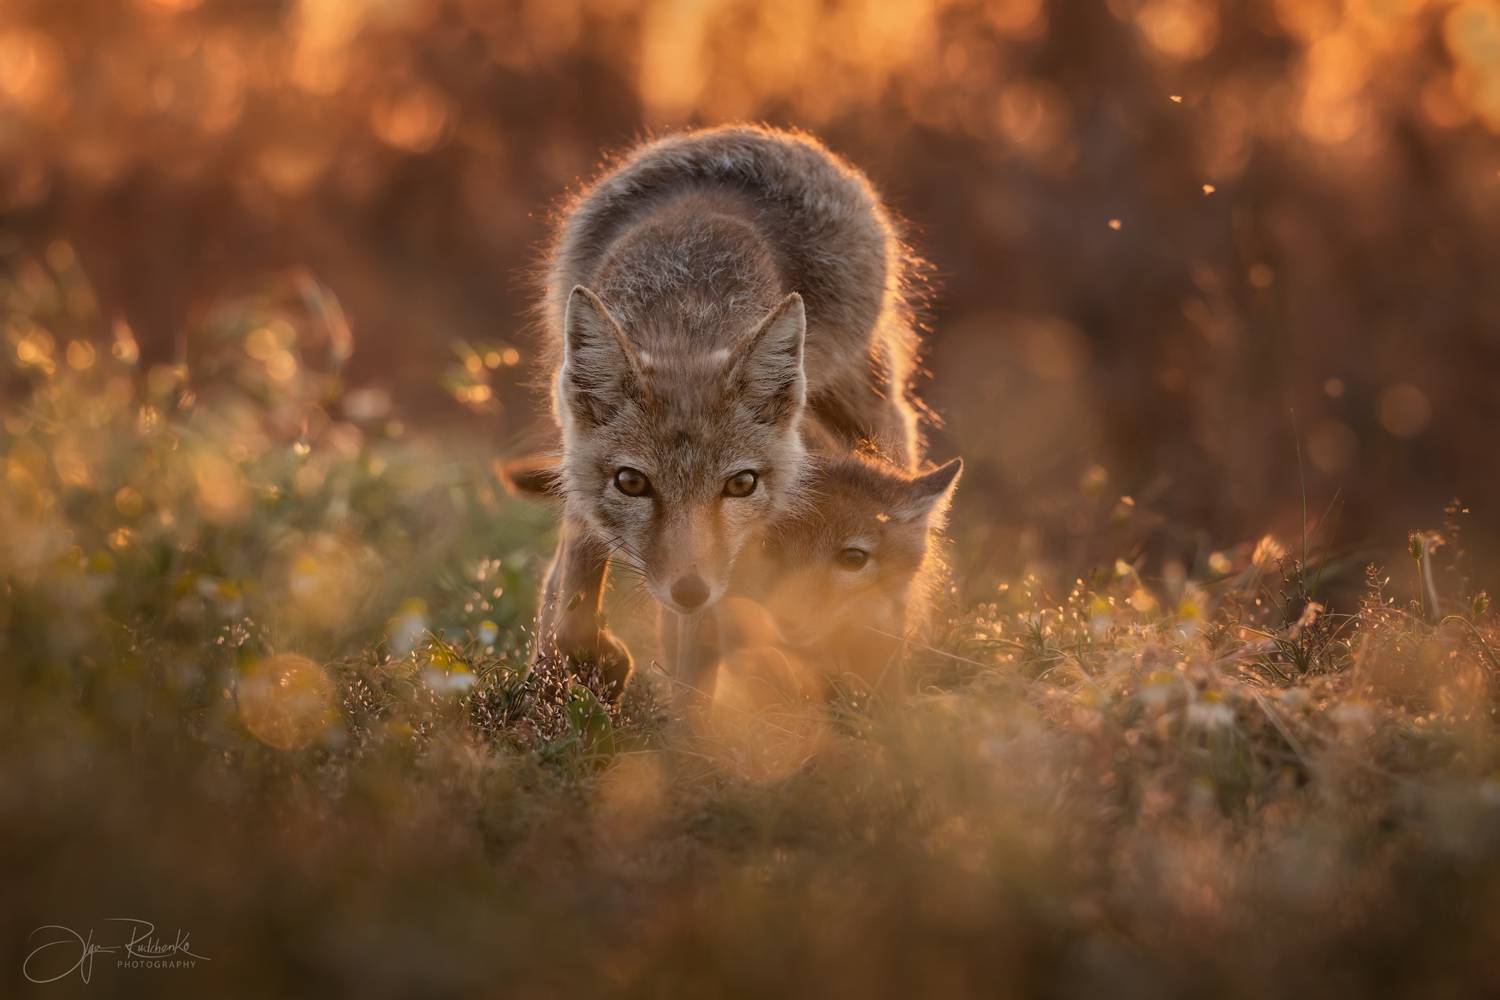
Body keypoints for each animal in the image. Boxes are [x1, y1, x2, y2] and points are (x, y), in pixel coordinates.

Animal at [532, 125, 926, 695]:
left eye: (741, 484)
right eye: (632, 482)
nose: (690, 590)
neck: (685, 307)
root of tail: (769, 134)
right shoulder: (578, 453)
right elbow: (577, 563)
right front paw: (575, 657)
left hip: (868, 406)